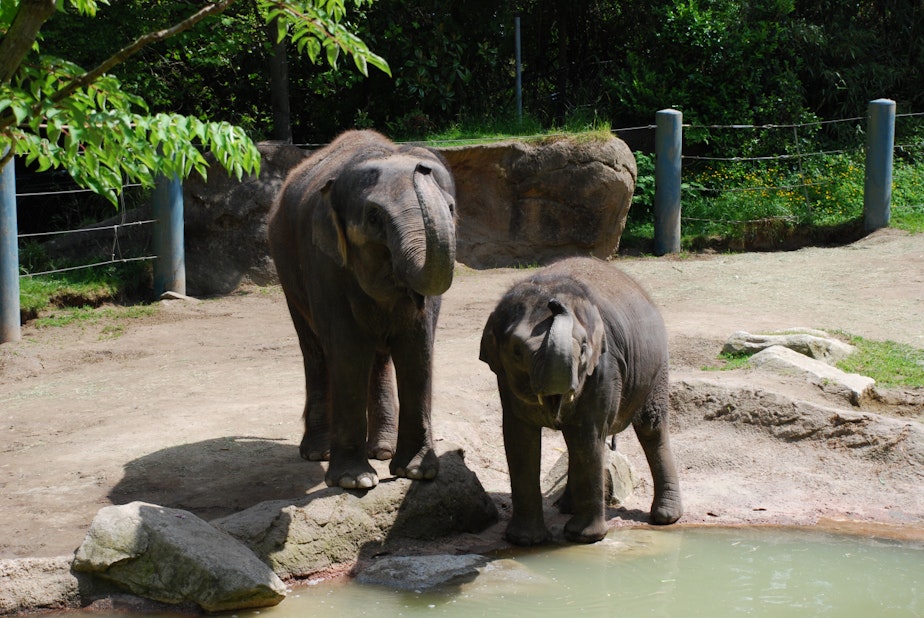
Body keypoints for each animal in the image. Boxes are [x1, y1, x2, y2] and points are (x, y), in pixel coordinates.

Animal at [266, 129, 456, 486]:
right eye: (374, 218)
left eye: (451, 209)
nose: (421, 169)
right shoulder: (325, 264)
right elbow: (348, 352)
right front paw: (354, 481)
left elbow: (418, 349)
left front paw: (417, 473)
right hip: (286, 270)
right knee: (315, 352)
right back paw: (318, 453)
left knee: (378, 360)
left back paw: (381, 450)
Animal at [480, 255, 684, 544]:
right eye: (517, 351)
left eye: (585, 347)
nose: (555, 304)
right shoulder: (504, 379)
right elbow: (519, 437)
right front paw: (525, 540)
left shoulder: (604, 367)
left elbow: (589, 433)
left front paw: (584, 537)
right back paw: (566, 506)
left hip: (657, 365)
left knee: (650, 427)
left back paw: (665, 517)